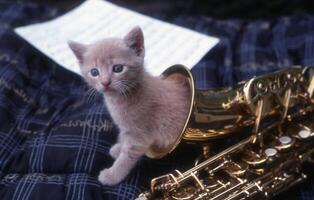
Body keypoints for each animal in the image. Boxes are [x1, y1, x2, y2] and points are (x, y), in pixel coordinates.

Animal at [69, 25, 190, 185]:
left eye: (118, 69)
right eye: (94, 72)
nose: (105, 82)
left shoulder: (140, 135)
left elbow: (126, 158)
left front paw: (112, 175)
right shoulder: (127, 129)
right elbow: (123, 138)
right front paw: (118, 148)